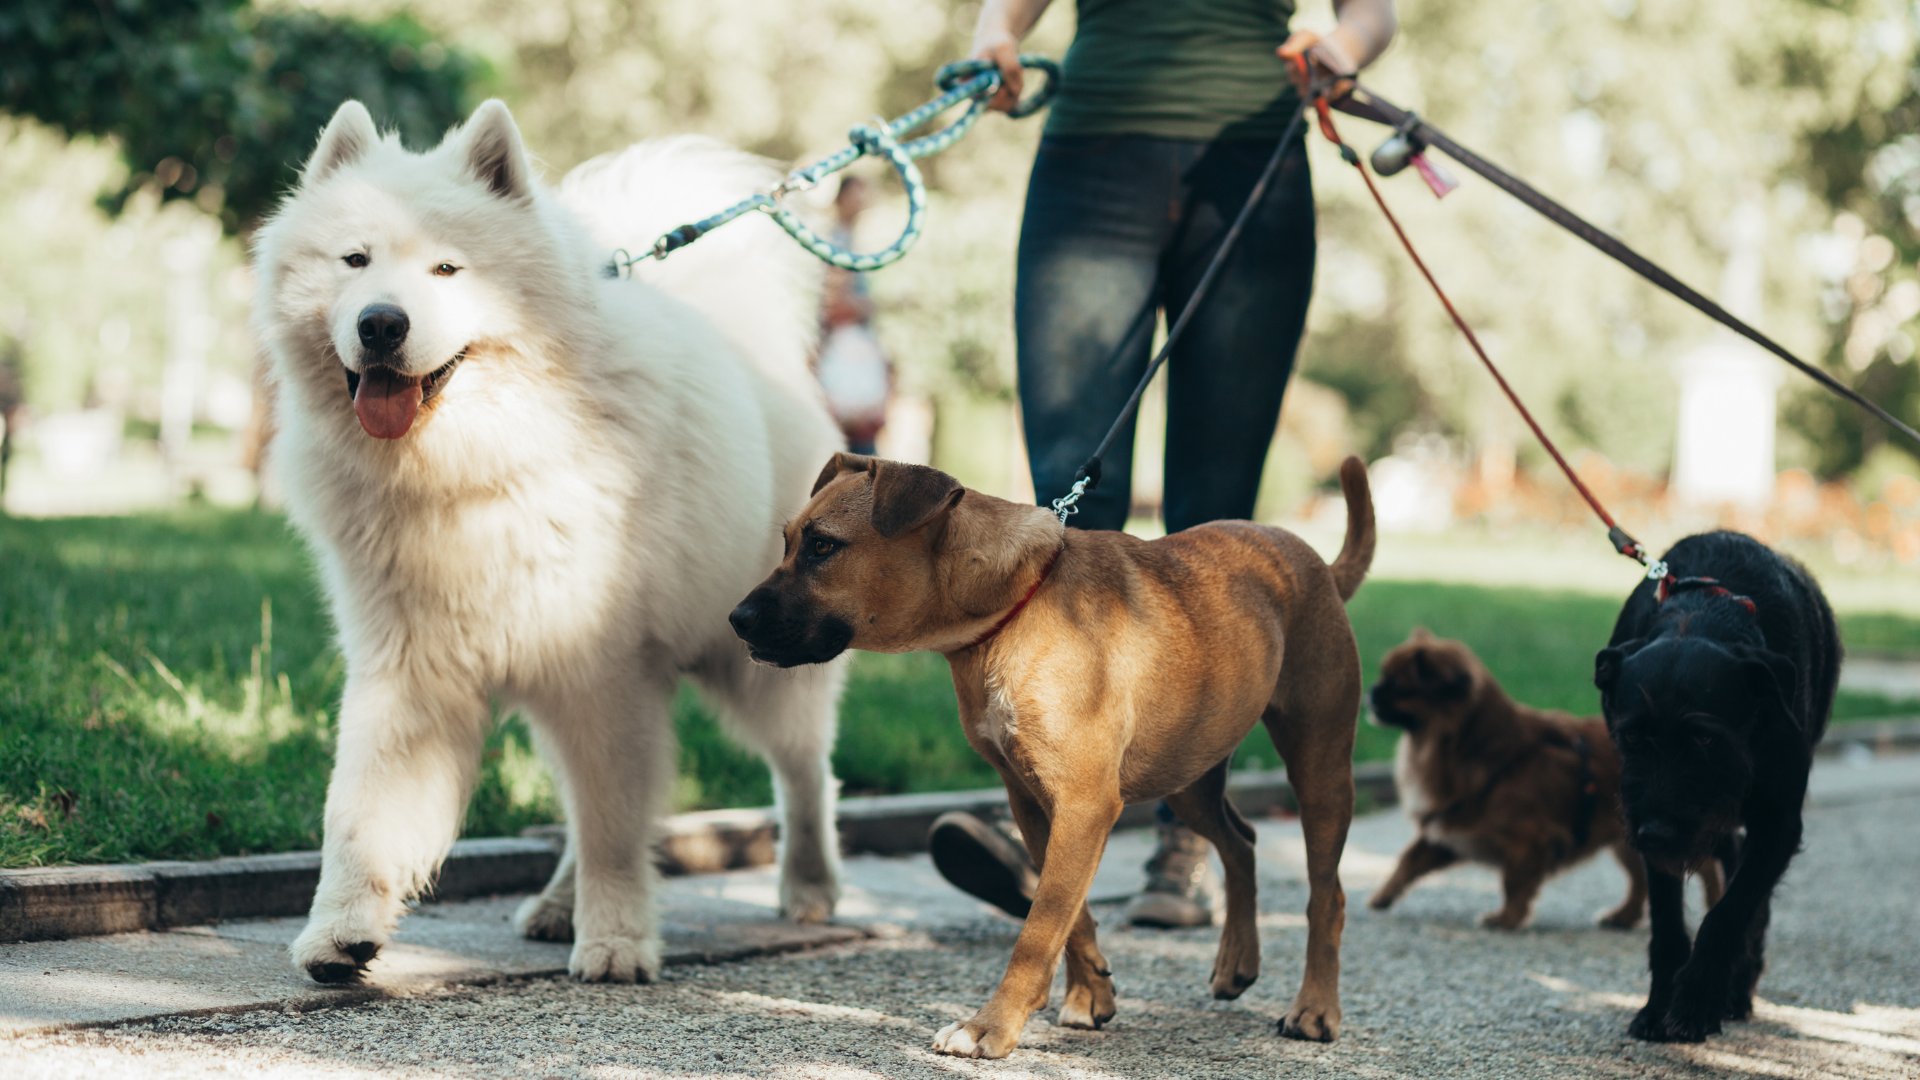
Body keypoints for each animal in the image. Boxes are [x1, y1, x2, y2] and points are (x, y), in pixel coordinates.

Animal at [253, 102, 848, 983]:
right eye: (353, 260)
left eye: (447, 270)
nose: (381, 322)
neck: (473, 466)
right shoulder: (409, 667)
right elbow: (362, 812)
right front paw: (341, 932)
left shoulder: (601, 669)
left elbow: (614, 829)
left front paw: (616, 941)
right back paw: (557, 905)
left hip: (756, 663)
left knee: (804, 774)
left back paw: (809, 886)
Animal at [725, 449, 1374, 1053]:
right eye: (787, 542)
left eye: (823, 547)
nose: (736, 619)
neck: (1013, 608)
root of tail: (1315, 562)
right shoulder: (1035, 801)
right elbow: (1069, 914)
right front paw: (1090, 994)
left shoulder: (1084, 805)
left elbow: (1038, 931)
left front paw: (992, 1025)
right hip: (1188, 773)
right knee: (1242, 844)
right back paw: (1238, 961)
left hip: (1319, 768)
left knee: (1328, 896)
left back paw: (1315, 1008)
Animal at [1374, 630, 1720, 926]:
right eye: (1382, 677)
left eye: (1397, 685)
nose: (1372, 692)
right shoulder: (1448, 832)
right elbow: (1408, 860)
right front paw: (1382, 896)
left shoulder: (1528, 840)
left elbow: (1514, 883)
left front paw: (1506, 919)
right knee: (1641, 880)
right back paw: (1622, 917)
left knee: (1707, 869)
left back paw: (1712, 907)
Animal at [1589, 526, 1843, 1037]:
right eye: (1631, 736)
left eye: (1706, 738)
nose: (1657, 832)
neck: (1703, 615)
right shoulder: (1655, 830)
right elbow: (1668, 921)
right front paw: (1659, 1005)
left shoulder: (1779, 824)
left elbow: (1730, 912)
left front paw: (1696, 1001)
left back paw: (1737, 989)